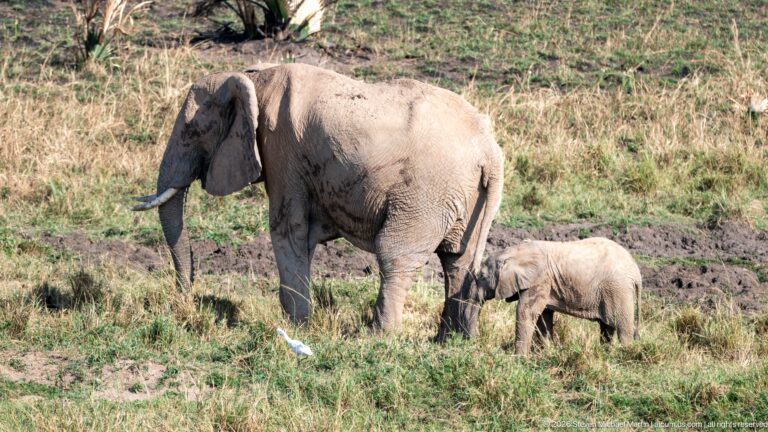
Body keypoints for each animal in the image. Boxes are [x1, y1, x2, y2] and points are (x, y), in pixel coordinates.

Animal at [132, 63, 504, 338]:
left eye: (193, 132)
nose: (186, 300)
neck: (254, 78)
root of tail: (490, 150)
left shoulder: (282, 152)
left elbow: (288, 231)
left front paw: (297, 327)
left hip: (426, 193)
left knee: (395, 254)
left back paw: (377, 338)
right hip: (464, 195)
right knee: (457, 260)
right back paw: (451, 340)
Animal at [474, 238, 642, 355]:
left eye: (482, 276)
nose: (473, 340)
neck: (516, 251)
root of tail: (636, 271)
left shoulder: (540, 279)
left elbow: (525, 311)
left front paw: (519, 359)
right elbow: (543, 316)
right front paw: (546, 353)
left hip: (618, 290)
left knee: (623, 329)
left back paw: (625, 353)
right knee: (607, 327)